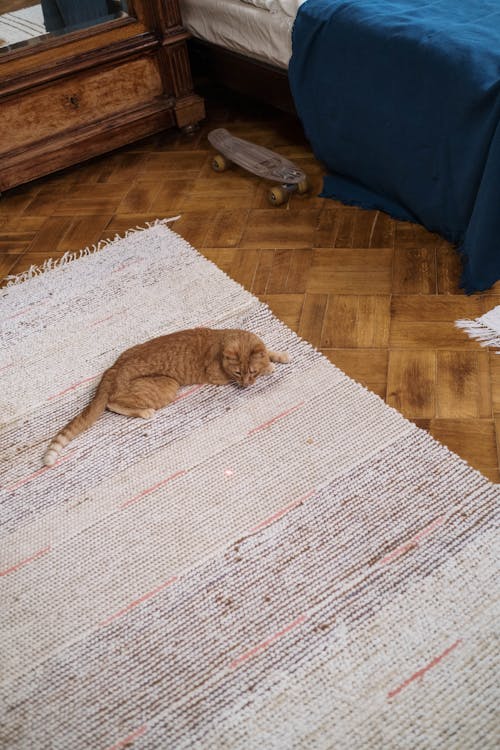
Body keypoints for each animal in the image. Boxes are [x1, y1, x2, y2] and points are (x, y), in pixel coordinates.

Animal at [43, 328, 290, 468]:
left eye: (251, 372)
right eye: (238, 373)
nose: (247, 385)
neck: (221, 340)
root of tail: (113, 368)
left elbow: (269, 352)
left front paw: (278, 357)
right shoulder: (218, 376)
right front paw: (269, 367)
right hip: (169, 386)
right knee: (113, 403)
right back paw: (145, 412)